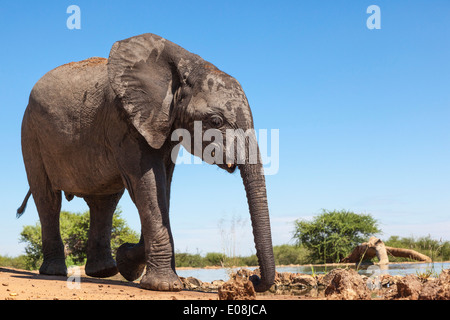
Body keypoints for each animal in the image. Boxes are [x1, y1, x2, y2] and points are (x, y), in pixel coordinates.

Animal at [17, 33, 274, 292]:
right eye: (215, 120)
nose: (253, 278)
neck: (184, 64)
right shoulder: (123, 121)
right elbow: (148, 185)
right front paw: (164, 285)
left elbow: (162, 190)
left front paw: (128, 262)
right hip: (30, 134)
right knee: (48, 199)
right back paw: (54, 272)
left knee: (104, 203)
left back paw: (104, 271)